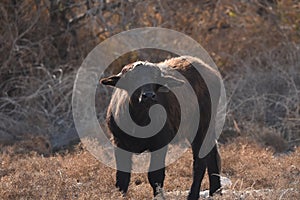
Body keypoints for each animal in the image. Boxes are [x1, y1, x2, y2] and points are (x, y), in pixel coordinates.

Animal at [99, 55, 221, 199]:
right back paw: (216, 191)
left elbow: (155, 176)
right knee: (212, 154)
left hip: (201, 128)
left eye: (155, 78)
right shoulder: (119, 143)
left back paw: (193, 195)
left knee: (200, 162)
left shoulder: (160, 143)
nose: (148, 96)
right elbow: (122, 178)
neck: (140, 119)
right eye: (132, 78)